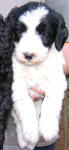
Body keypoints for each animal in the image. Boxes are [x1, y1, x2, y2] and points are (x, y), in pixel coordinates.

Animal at [4, 1, 68, 150]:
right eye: (20, 30)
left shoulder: (57, 81)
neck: (34, 67)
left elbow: (50, 104)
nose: (28, 55)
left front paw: (48, 128)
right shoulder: (16, 85)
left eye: (44, 33)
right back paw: (25, 140)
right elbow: (26, 107)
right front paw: (30, 132)